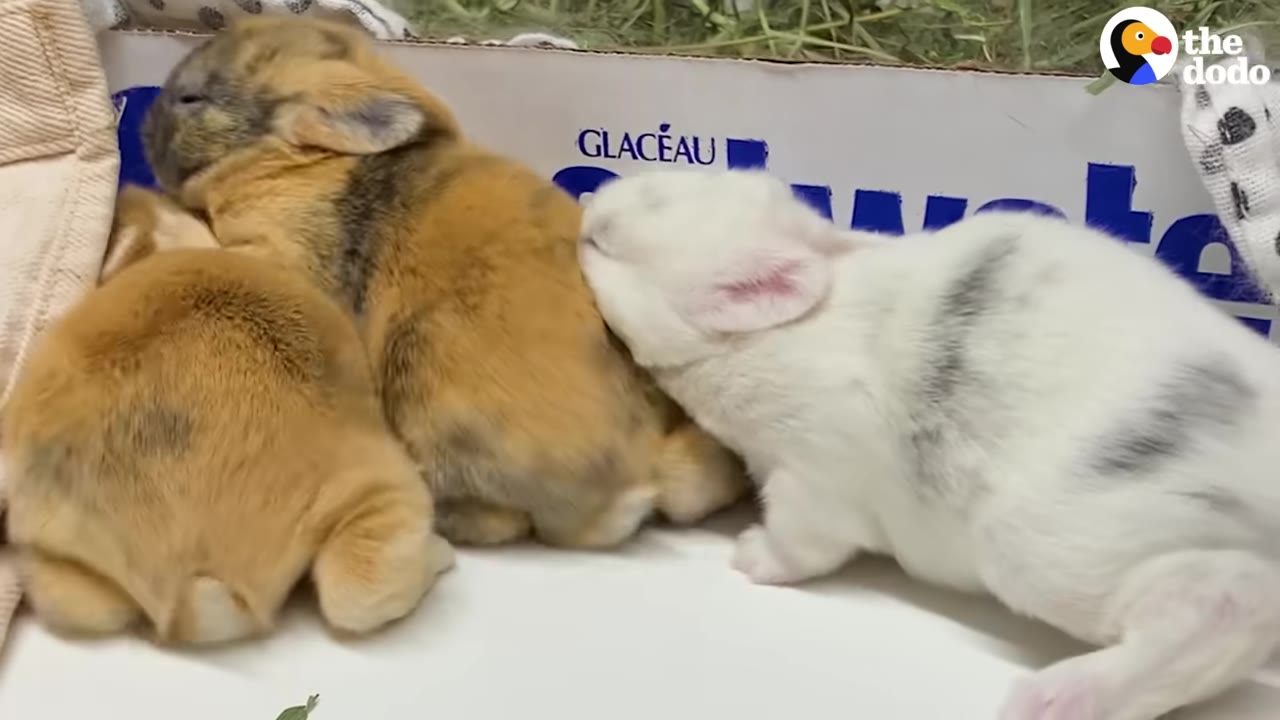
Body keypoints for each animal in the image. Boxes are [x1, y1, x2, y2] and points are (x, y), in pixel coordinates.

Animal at [577, 167, 1280, 720]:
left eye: (600, 244)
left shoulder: (811, 476)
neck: (773, 334)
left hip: (1051, 549)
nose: (588, 204)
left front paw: (749, 557)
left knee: (1231, 609)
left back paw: (1052, 700)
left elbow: (800, 544)